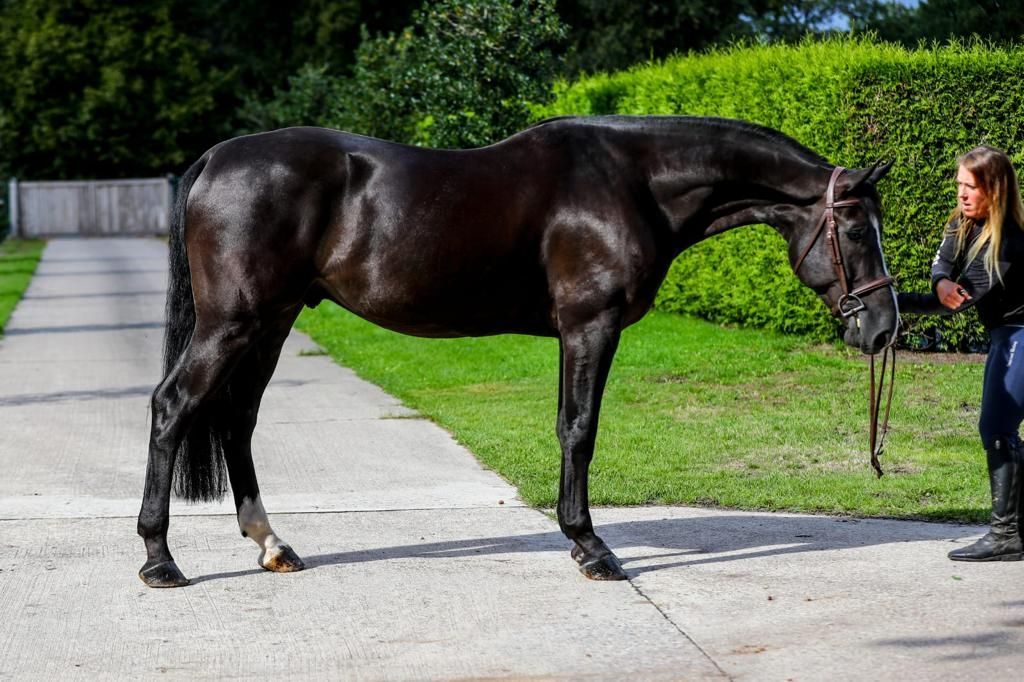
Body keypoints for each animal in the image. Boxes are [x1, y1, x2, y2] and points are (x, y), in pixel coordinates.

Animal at [137, 115, 898, 587]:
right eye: (857, 227)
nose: (884, 329)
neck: (631, 181)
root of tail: (216, 159)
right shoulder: (591, 325)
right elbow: (579, 431)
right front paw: (591, 548)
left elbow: (571, 429)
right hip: (235, 321)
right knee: (174, 407)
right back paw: (159, 558)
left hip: (272, 320)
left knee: (236, 419)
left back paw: (273, 544)